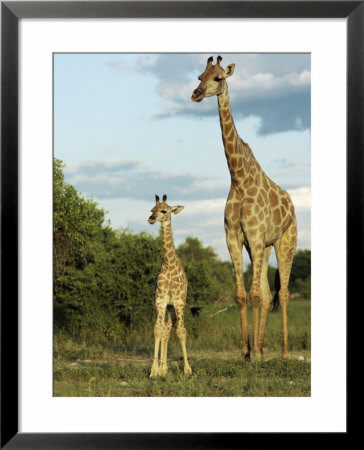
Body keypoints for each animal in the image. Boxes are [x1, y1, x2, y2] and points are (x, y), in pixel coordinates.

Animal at [192, 56, 298, 360]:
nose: (195, 94)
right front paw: (246, 351)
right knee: (266, 290)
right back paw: (261, 349)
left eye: (218, 78)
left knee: (282, 293)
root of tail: (292, 205)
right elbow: (242, 295)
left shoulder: (254, 235)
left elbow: (254, 295)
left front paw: (254, 355)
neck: (238, 178)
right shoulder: (235, 238)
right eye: (200, 76)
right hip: (262, 247)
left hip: (285, 242)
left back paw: (284, 352)